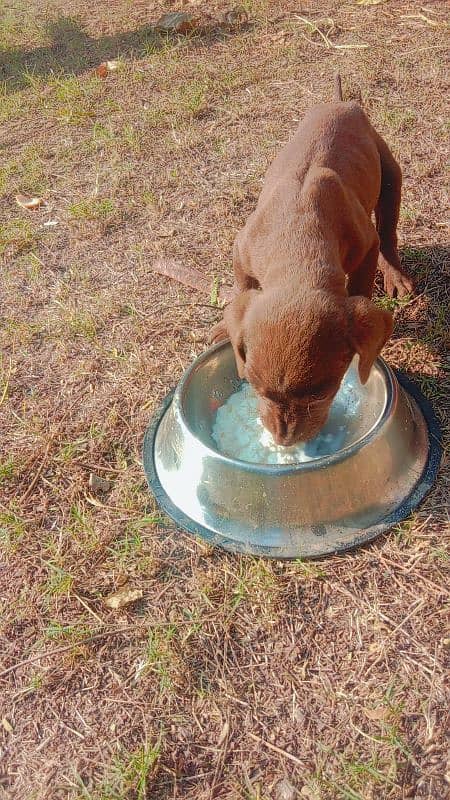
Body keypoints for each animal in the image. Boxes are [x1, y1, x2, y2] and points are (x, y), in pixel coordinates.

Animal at [213, 78, 414, 446]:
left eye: (321, 393)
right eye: (255, 387)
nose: (284, 440)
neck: (298, 235)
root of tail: (342, 103)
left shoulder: (366, 244)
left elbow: (363, 281)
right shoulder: (242, 247)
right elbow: (241, 289)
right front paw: (225, 326)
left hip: (391, 174)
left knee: (389, 231)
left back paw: (395, 275)